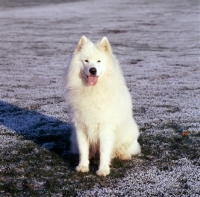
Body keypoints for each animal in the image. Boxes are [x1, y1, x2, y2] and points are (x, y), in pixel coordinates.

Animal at [64, 36, 141, 176]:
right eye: (86, 61)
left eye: (99, 61)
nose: (92, 70)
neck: (92, 91)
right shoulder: (81, 127)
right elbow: (83, 150)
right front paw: (83, 166)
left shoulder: (105, 128)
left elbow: (104, 151)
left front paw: (103, 170)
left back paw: (123, 155)